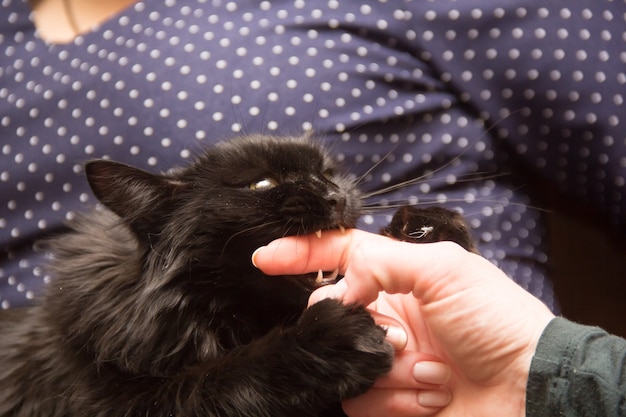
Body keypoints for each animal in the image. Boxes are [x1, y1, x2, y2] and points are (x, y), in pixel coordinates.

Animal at [0, 135, 470, 414]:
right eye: (262, 186)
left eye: (327, 173)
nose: (335, 195)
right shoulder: (116, 402)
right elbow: (218, 380)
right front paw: (325, 341)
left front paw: (426, 230)